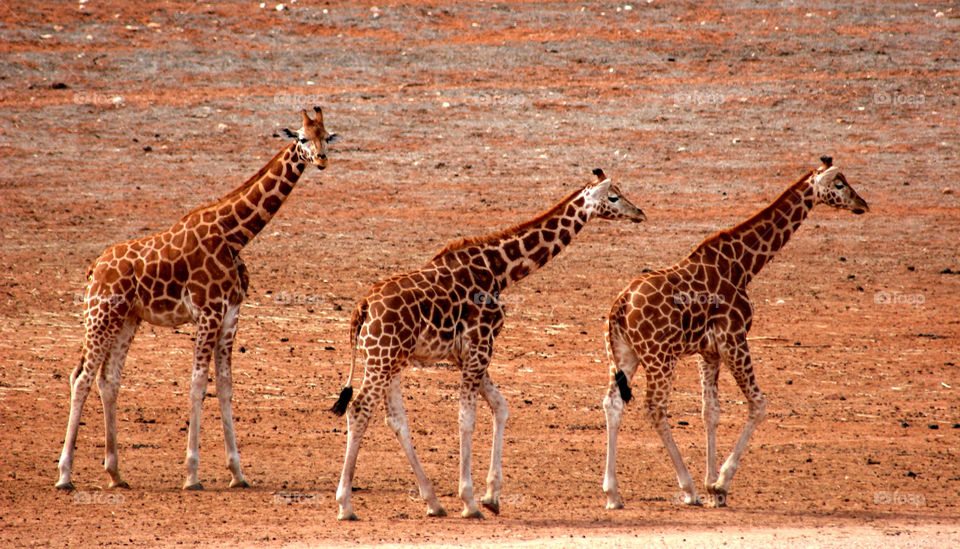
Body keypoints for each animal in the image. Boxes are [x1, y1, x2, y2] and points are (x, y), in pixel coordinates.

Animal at [53, 106, 338, 488]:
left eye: (328, 136)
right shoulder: (208, 311)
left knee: (108, 380)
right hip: (100, 314)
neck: (234, 235)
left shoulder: (230, 314)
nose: (322, 159)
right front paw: (192, 474)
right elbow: (197, 384)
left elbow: (226, 386)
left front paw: (238, 473)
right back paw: (65, 474)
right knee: (81, 377)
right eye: (303, 137)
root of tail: (93, 269)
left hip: (127, 319)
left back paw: (115, 473)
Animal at [328, 167, 644, 520]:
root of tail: (362, 308)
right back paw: (345, 504)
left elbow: (500, 406)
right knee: (359, 409)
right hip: (381, 359)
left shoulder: (465, 353)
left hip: (389, 360)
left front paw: (491, 496)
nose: (639, 213)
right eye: (613, 197)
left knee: (395, 419)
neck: (500, 270)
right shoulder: (480, 345)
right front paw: (469, 501)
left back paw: (433, 502)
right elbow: (467, 417)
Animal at [604, 156, 868, 508]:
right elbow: (758, 404)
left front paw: (712, 485)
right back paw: (687, 489)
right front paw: (719, 484)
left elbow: (710, 412)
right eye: (839, 184)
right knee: (655, 408)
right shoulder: (734, 338)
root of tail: (619, 307)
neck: (743, 265)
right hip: (660, 356)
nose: (862, 204)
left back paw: (613, 493)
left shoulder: (708, 352)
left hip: (625, 355)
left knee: (612, 404)